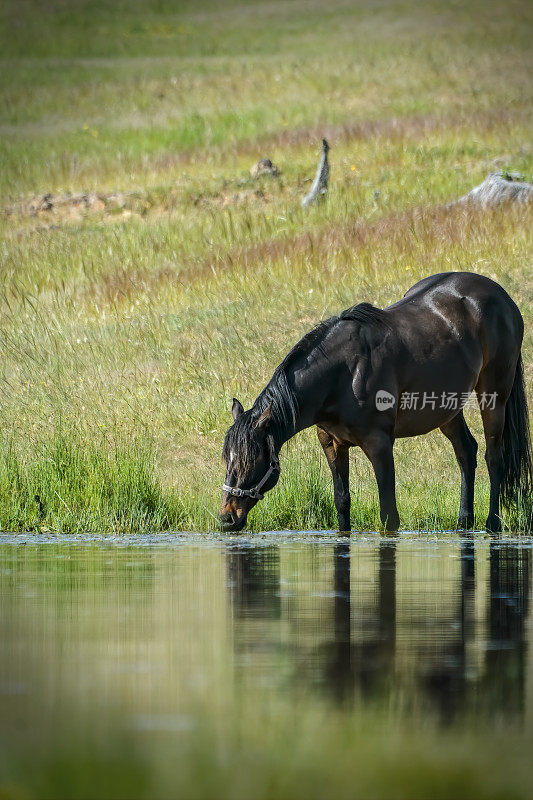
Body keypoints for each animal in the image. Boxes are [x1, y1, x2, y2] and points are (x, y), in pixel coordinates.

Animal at [218, 272, 528, 536]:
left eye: (251, 459)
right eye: (227, 458)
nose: (227, 517)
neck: (343, 375)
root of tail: (501, 295)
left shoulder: (379, 444)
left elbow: (389, 515)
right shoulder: (332, 444)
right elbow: (342, 501)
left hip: (494, 397)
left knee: (493, 456)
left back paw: (492, 524)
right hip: (447, 410)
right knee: (466, 452)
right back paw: (464, 523)